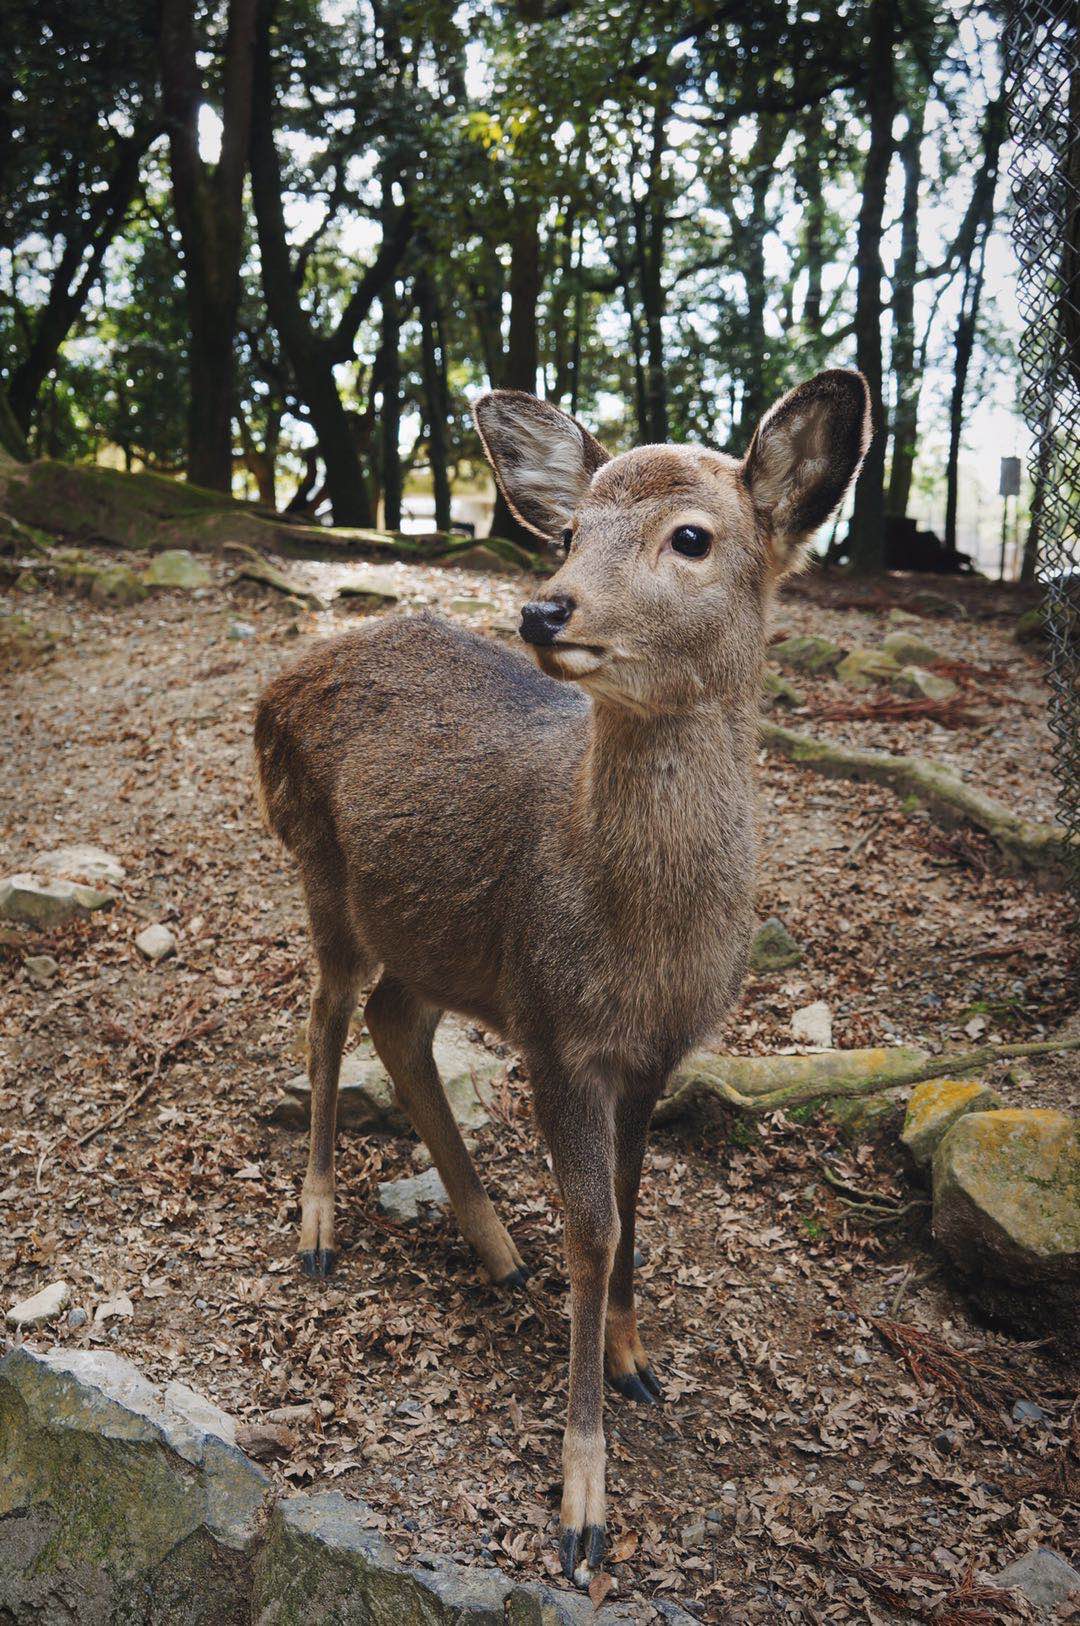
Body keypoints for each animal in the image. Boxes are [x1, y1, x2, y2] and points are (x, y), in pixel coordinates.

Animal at [256, 372, 871, 1586]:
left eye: (693, 536)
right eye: (575, 529)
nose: (547, 609)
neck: (644, 948)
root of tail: (272, 685)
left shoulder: (654, 1051)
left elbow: (632, 1206)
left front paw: (636, 1357)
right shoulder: (555, 1028)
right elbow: (594, 1229)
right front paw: (583, 1506)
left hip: (437, 932)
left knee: (395, 1022)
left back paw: (496, 1250)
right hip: (322, 867)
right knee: (326, 1015)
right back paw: (318, 1230)